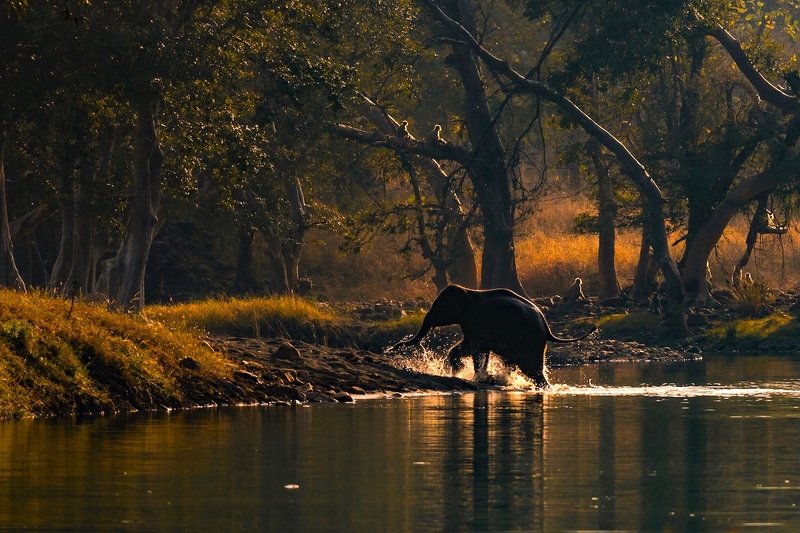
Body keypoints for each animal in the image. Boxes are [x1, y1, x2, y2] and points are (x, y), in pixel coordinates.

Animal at [390, 284, 597, 388]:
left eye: (438, 307)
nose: (393, 347)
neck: (468, 293)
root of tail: (547, 328)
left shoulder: (476, 320)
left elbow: (477, 349)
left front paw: (475, 377)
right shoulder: (470, 324)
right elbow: (468, 347)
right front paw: (459, 370)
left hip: (530, 340)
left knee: (531, 368)